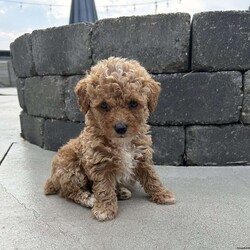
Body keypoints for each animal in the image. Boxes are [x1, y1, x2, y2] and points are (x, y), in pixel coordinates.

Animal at [44, 56, 176, 221]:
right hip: (70, 169)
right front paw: (105, 209)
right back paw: (89, 198)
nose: (120, 128)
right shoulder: (100, 163)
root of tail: (52, 179)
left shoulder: (143, 157)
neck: (122, 143)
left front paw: (162, 194)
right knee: (70, 192)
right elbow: (104, 187)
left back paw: (121, 192)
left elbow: (152, 177)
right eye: (104, 105)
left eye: (133, 103)